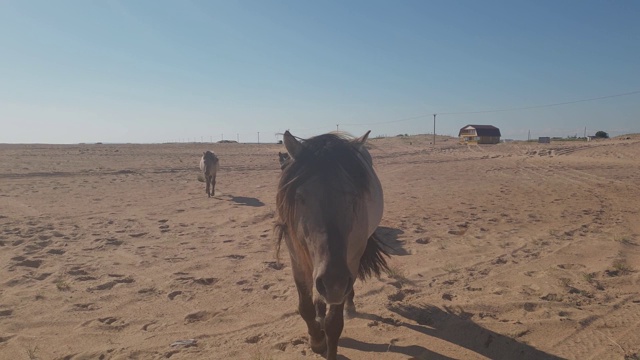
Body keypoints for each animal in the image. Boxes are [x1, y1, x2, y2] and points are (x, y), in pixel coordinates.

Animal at [274, 131, 388, 358]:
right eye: (300, 197)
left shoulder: (348, 264)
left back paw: (348, 305)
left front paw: (326, 340)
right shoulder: (298, 260)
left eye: (354, 196)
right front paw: (317, 340)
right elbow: (305, 307)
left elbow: (334, 323)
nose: (333, 283)